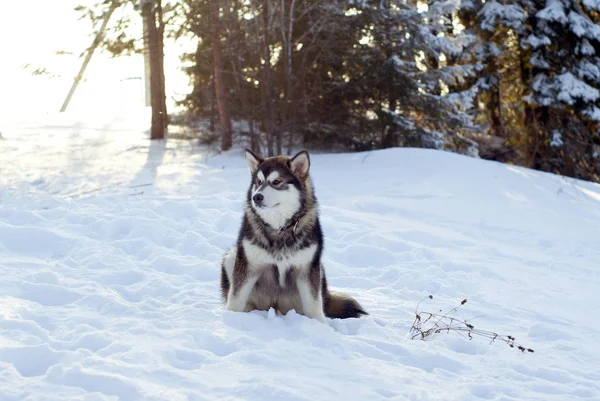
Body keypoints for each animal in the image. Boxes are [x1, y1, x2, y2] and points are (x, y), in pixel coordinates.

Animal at [218, 148, 368, 322]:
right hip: (232, 257)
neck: (279, 228)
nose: (256, 197)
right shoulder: (247, 264)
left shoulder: (308, 267)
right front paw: (232, 317)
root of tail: (274, 305)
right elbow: (236, 297)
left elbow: (314, 303)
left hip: (318, 270)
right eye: (258, 182)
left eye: (276, 182)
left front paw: (320, 324)